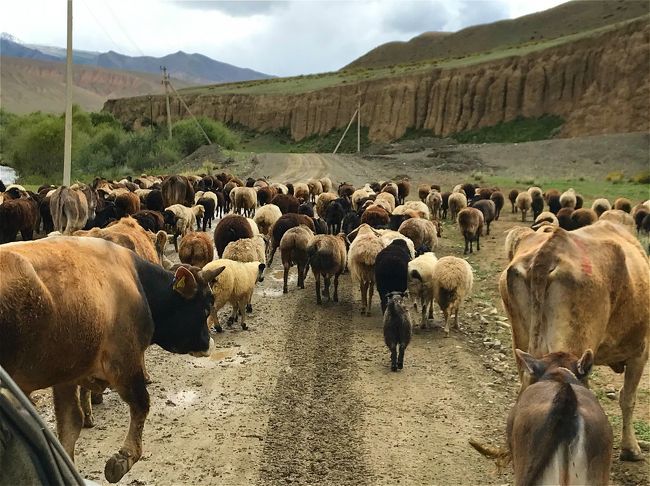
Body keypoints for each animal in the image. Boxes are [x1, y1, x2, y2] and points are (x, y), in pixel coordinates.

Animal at [0, 235, 223, 482]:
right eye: (205, 307)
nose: (210, 343)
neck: (138, 284)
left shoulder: (66, 374)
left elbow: (70, 424)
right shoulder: (124, 361)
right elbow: (141, 403)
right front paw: (124, 458)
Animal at [502, 222, 648, 462]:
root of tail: (550, 248)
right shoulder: (640, 351)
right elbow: (628, 398)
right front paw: (631, 449)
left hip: (521, 338)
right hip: (572, 345)